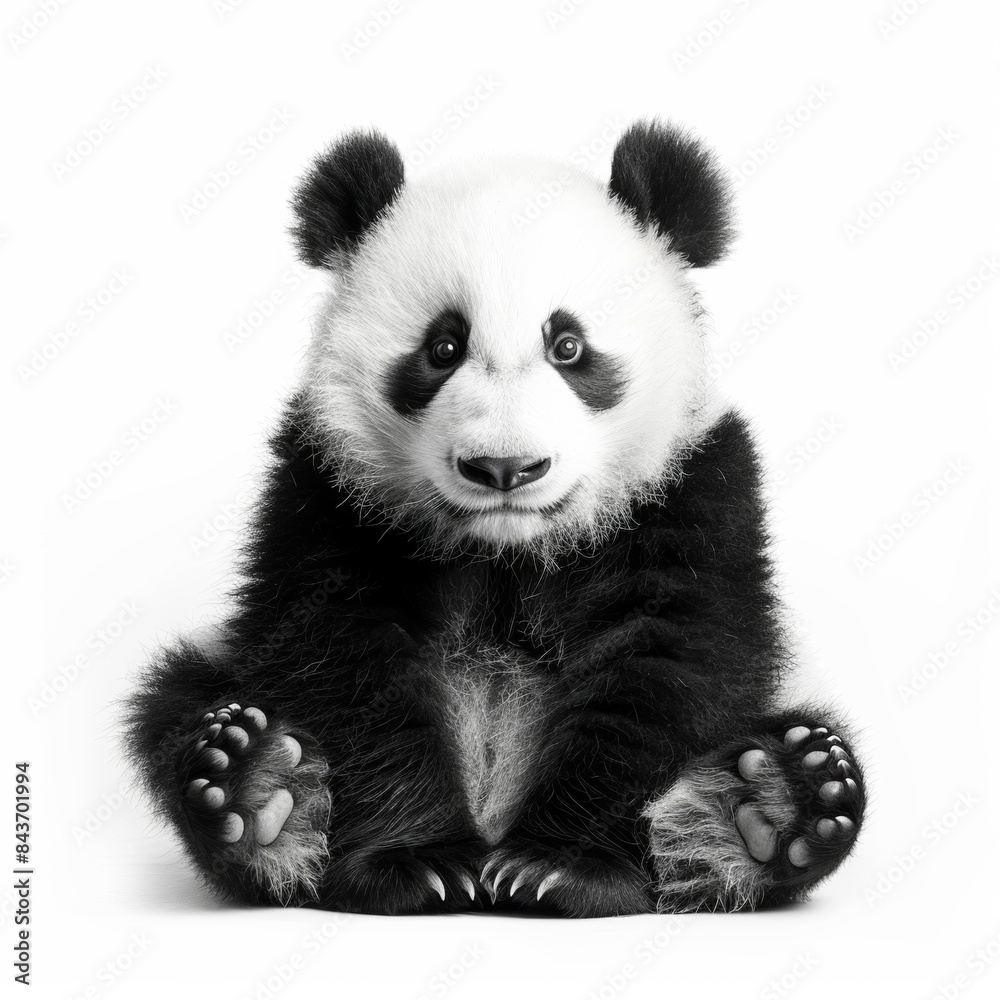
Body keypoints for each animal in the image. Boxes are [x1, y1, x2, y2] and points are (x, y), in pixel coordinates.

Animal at [125, 119, 866, 917]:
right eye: (442, 347)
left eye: (568, 345)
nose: (505, 469)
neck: (508, 548)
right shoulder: (328, 489)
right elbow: (344, 656)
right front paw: (419, 862)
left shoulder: (694, 487)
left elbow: (665, 663)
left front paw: (561, 867)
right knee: (180, 703)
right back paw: (259, 791)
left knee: (791, 739)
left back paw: (774, 802)